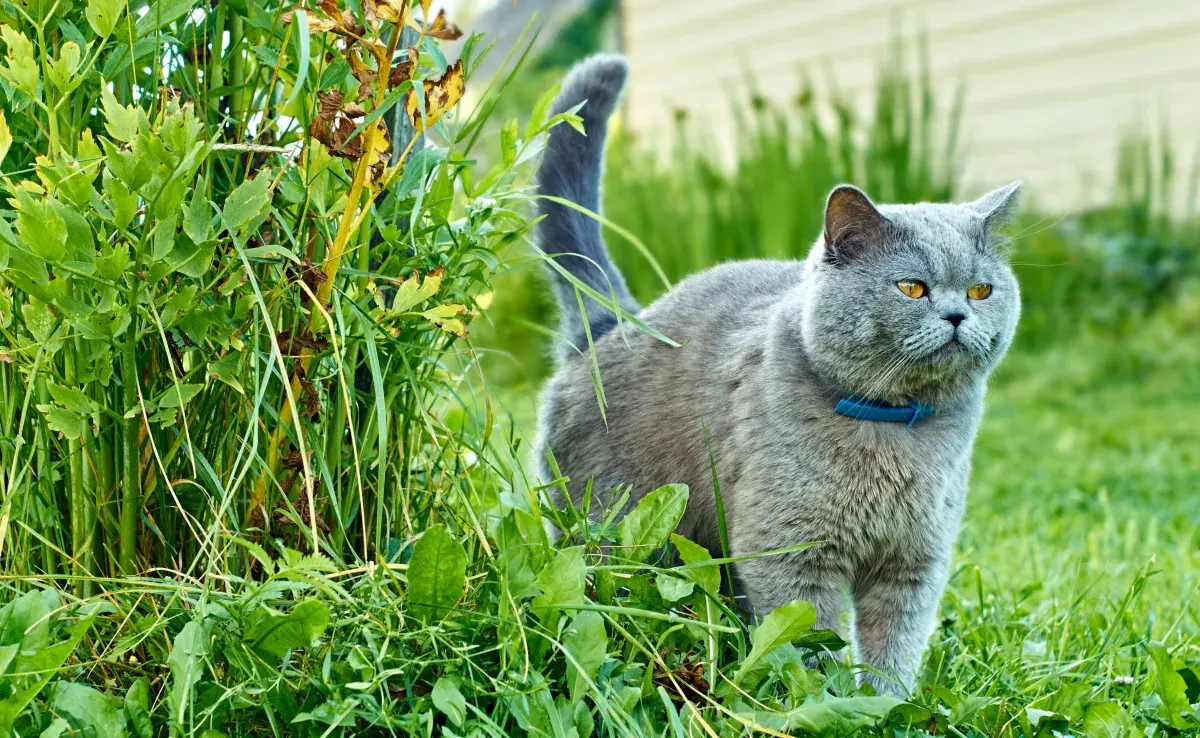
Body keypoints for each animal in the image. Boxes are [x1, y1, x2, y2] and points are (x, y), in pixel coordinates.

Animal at [535, 53, 1022, 700]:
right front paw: (823, 702)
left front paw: (886, 705)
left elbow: (895, 649)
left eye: (982, 290)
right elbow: (811, 641)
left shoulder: (914, 562)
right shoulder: (790, 553)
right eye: (912, 287)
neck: (892, 429)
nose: (958, 315)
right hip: (611, 528)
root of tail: (608, 325)